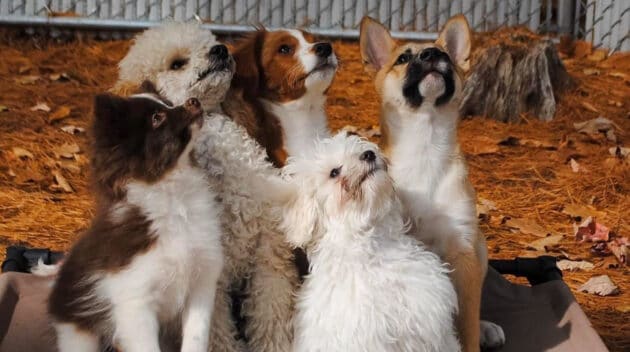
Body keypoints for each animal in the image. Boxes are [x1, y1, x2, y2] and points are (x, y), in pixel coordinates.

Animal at [48, 93, 225, 352]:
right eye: (157, 118)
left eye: (168, 103)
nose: (193, 100)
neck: (173, 200)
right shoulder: (135, 305)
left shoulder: (201, 285)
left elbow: (195, 339)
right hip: (77, 335)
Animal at [113, 22, 298, 352]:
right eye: (176, 63)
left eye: (209, 40)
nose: (220, 50)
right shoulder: (210, 275)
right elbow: (219, 334)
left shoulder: (269, 257)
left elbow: (271, 318)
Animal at [362, 15, 506, 350]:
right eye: (402, 59)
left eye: (446, 57)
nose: (432, 55)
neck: (425, 146)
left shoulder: (463, 254)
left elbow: (467, 324)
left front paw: (474, 334)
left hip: (480, 248)